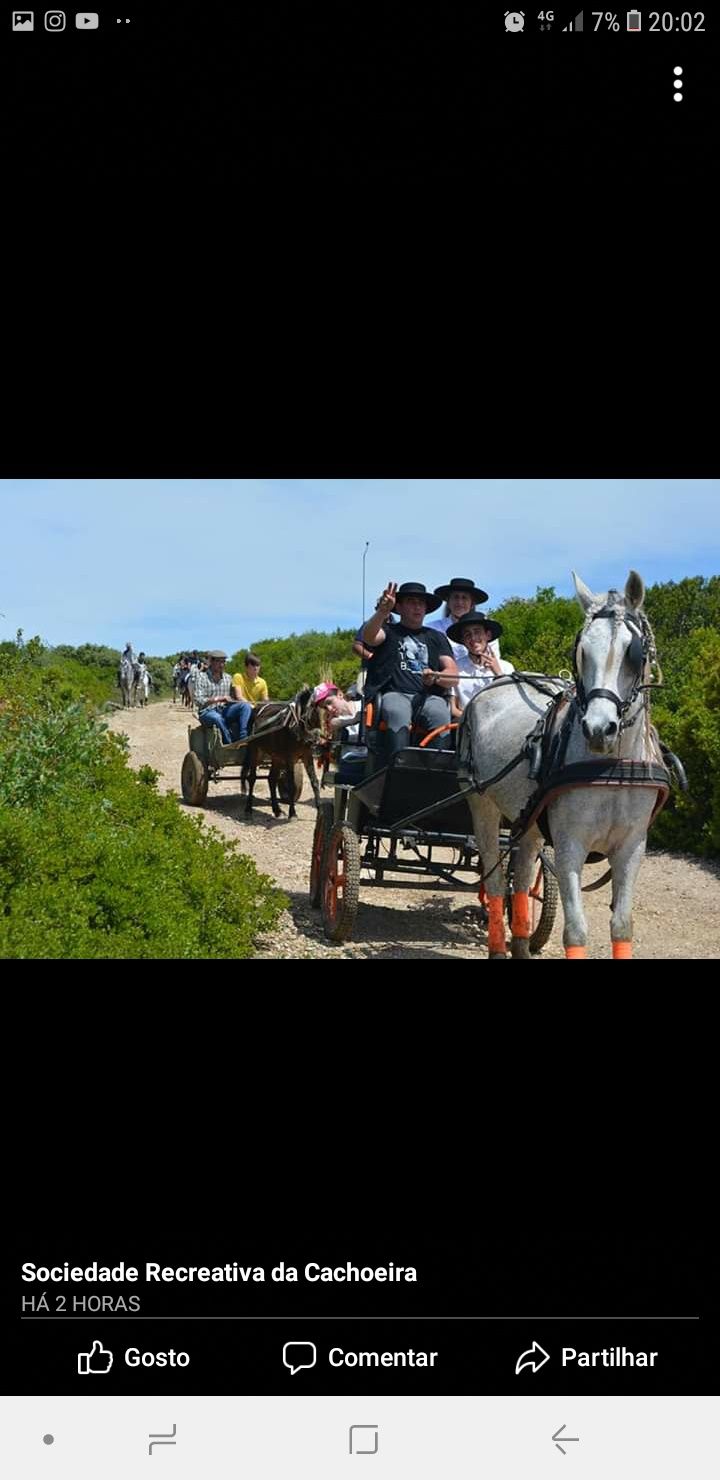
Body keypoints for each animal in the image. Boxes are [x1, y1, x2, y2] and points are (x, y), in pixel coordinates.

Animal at [244, 683, 322, 816]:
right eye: (312, 709)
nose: (314, 740)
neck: (295, 727)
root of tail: (256, 709)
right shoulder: (290, 757)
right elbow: (291, 785)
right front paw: (292, 813)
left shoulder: (307, 755)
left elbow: (314, 782)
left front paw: (320, 811)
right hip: (255, 750)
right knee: (252, 778)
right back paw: (248, 808)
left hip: (276, 756)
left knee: (271, 779)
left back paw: (276, 809)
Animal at [459, 565, 672, 959]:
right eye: (582, 651)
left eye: (634, 653)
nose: (599, 729)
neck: (610, 768)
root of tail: (492, 685)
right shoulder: (570, 845)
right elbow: (575, 931)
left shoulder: (632, 847)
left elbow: (622, 925)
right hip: (481, 803)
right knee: (495, 879)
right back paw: (498, 945)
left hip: (528, 817)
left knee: (521, 878)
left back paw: (522, 944)